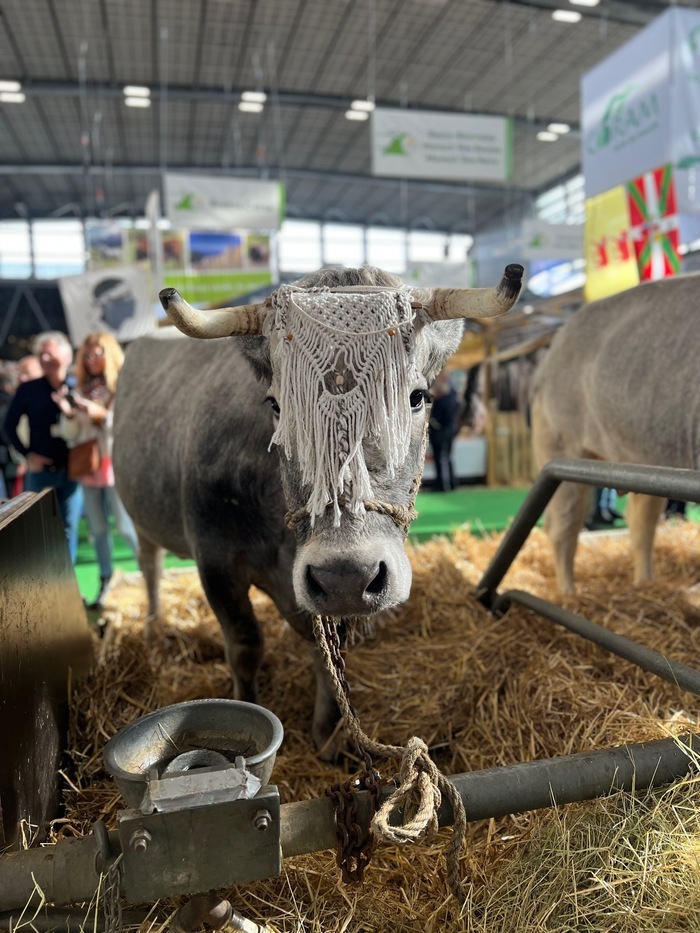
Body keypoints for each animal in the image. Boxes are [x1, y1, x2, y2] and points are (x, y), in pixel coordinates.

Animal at [112, 260, 524, 748]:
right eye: (276, 405)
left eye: (416, 397)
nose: (346, 574)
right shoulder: (215, 563)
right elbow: (245, 645)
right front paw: (249, 704)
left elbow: (329, 657)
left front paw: (329, 732)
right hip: (140, 519)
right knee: (150, 566)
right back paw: (154, 626)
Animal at [532, 276, 696, 592]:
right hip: (560, 452)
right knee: (564, 527)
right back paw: (568, 595)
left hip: (646, 458)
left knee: (641, 521)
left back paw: (645, 584)